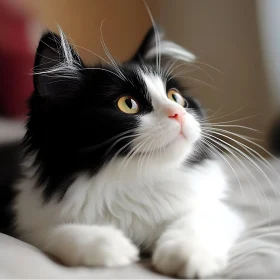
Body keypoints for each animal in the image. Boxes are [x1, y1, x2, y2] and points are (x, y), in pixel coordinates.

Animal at [0, 26, 244, 278]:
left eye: (175, 97)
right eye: (128, 104)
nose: (179, 113)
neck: (136, 179)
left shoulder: (217, 209)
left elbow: (198, 220)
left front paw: (185, 254)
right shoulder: (25, 222)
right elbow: (55, 233)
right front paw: (113, 246)